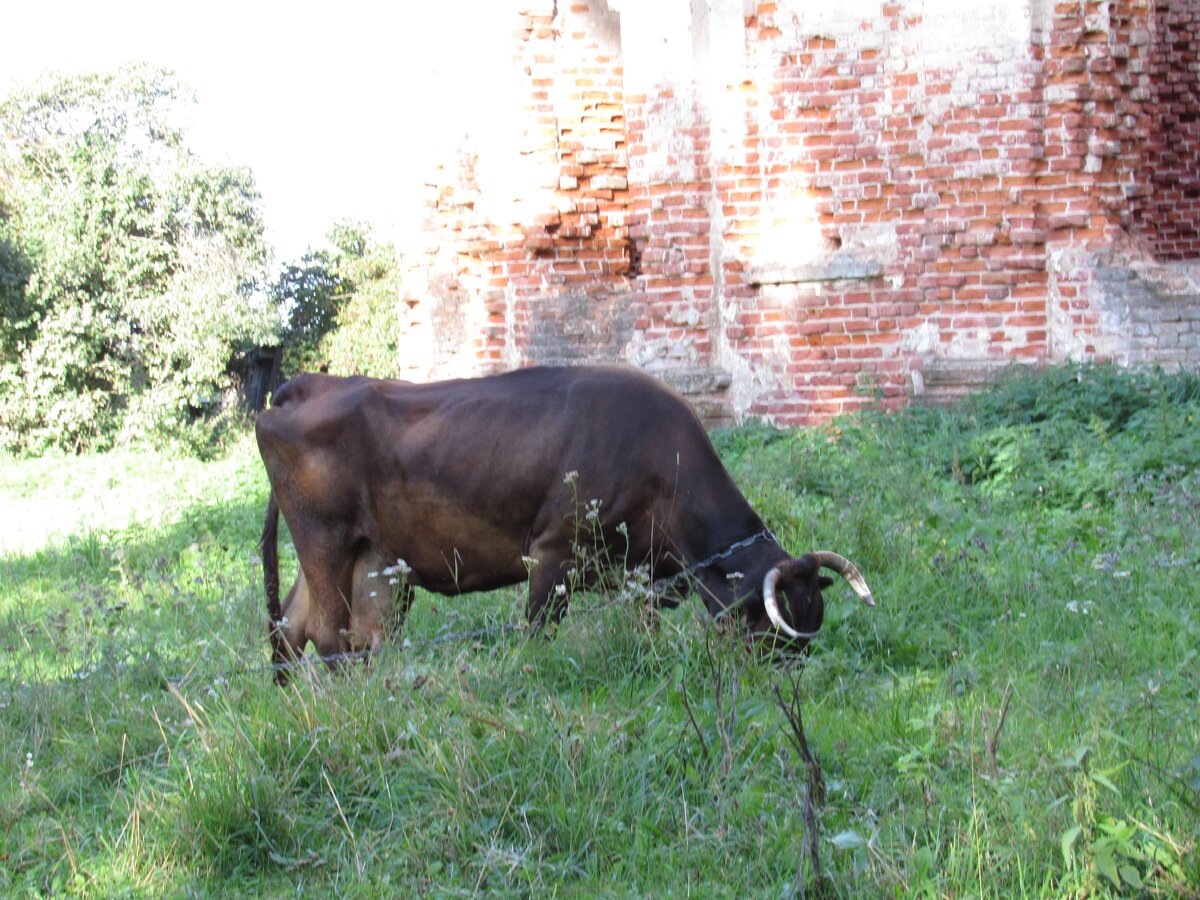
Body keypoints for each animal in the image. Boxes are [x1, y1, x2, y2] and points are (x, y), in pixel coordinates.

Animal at [255, 362, 873, 681]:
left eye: (812, 622)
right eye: (773, 629)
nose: (791, 682)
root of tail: (313, 383)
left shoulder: (642, 576)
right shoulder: (552, 555)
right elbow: (538, 633)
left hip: (374, 559)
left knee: (305, 628)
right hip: (324, 540)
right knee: (329, 636)